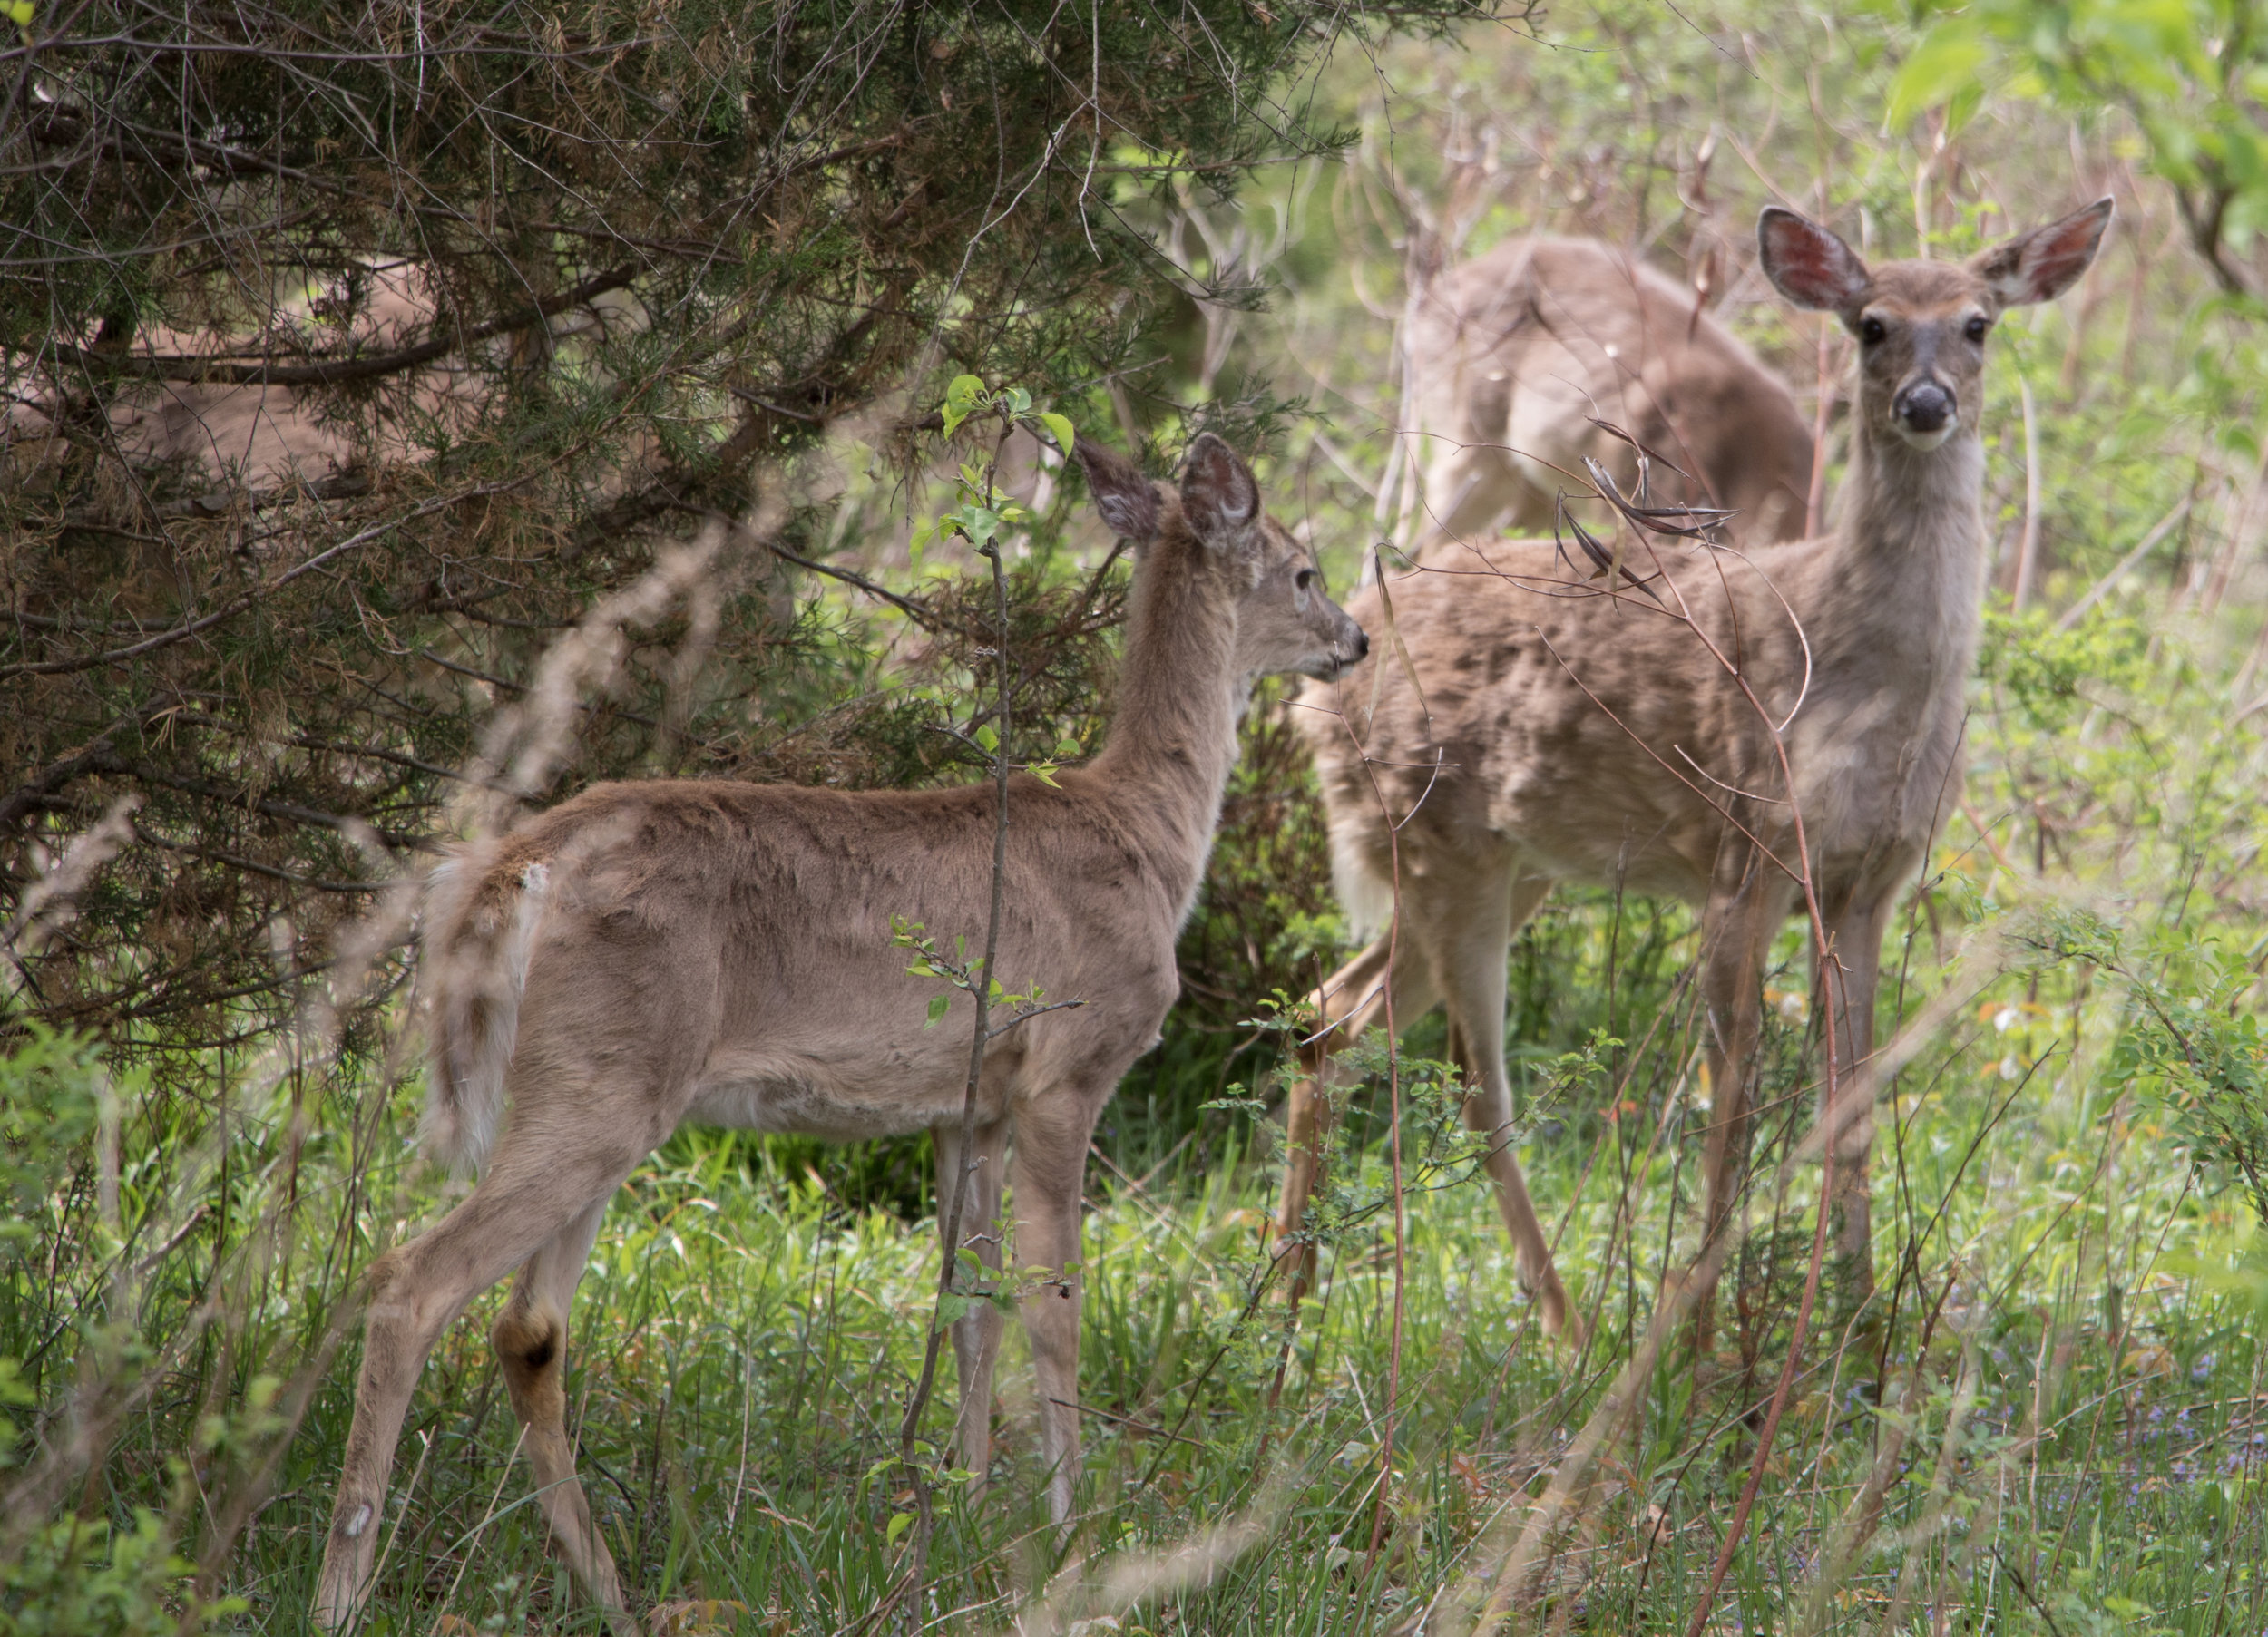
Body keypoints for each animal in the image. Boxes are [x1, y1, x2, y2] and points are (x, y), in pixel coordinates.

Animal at [308, 433, 1352, 1632]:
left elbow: (968, 1303)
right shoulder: (1068, 1068)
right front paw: (1072, 1536)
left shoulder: (968, 1106)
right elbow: (1055, 1300)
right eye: (1303, 569)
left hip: (600, 1086)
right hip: (601, 1081)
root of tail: (511, 869)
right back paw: (341, 1590)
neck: (1147, 832)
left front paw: (963, 1519)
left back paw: (614, 1592)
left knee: (529, 1327)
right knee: (411, 1283)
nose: (1356, 638)